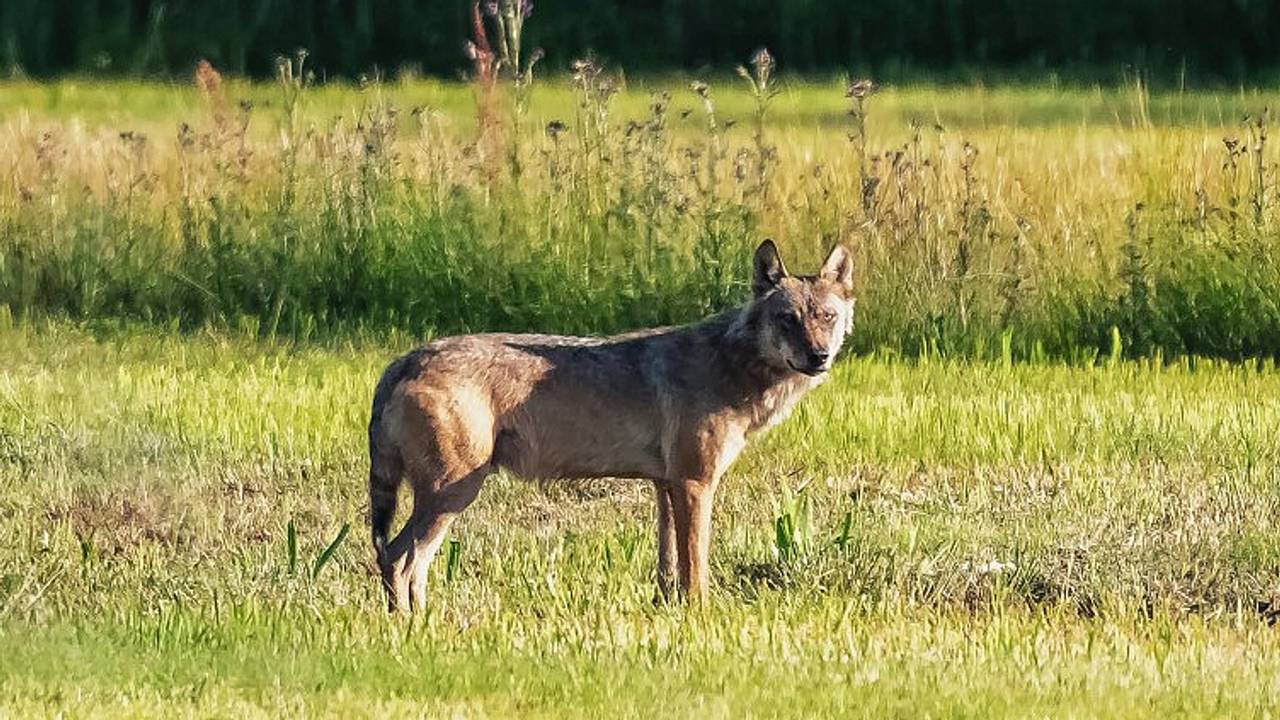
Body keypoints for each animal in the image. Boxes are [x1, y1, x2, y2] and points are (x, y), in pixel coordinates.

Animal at [367, 240, 855, 611]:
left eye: (826, 318)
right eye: (787, 319)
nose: (819, 357)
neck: (731, 363)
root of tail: (405, 359)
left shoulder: (666, 485)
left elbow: (669, 566)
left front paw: (668, 610)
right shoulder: (695, 483)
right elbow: (695, 566)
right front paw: (702, 615)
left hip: (448, 496)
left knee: (406, 563)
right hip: (454, 493)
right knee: (399, 559)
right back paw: (412, 629)